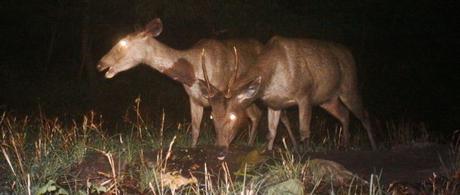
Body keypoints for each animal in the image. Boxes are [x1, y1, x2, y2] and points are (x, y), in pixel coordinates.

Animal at [96, 18, 294, 148]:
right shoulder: (194, 99)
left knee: (274, 115)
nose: (100, 64)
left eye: (122, 43)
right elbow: (196, 129)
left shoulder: (222, 97)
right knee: (261, 115)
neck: (192, 71)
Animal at [200, 35, 378, 152]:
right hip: (327, 100)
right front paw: (268, 151)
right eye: (212, 116)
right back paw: (345, 145)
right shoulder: (274, 104)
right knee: (344, 114)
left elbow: (304, 130)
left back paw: (374, 146)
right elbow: (271, 132)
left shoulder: (305, 93)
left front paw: (304, 152)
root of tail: (350, 54)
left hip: (349, 87)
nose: (220, 149)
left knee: (364, 114)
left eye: (233, 116)